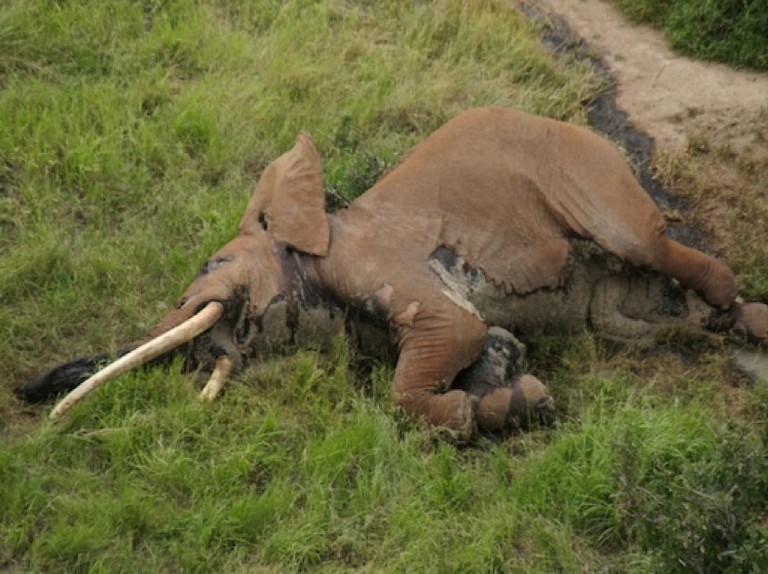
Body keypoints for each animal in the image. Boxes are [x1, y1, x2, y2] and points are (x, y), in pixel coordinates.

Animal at [19, 108, 768, 440]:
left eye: (213, 266)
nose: (26, 391)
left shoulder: (380, 264)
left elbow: (451, 337)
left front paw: (475, 411)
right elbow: (491, 343)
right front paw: (516, 398)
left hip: (589, 174)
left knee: (649, 244)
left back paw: (735, 313)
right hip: (609, 306)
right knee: (627, 320)